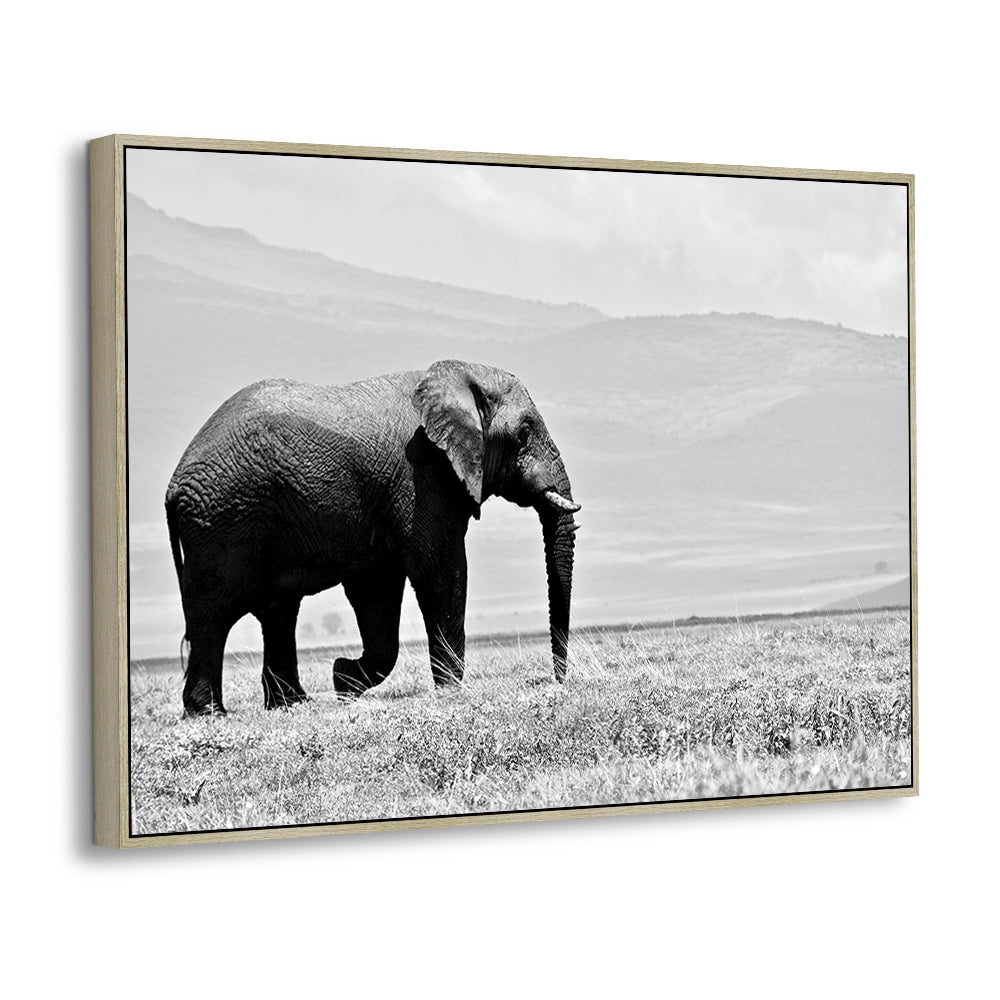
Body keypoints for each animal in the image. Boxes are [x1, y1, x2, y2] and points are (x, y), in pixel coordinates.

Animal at [165, 359, 580, 715]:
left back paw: (292, 704)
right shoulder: (422, 477)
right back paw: (210, 713)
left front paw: (342, 680)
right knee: (213, 612)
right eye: (524, 434)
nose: (559, 681)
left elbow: (376, 593)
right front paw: (451, 691)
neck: (459, 377)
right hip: (222, 520)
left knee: (279, 611)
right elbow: (439, 571)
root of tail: (174, 485)